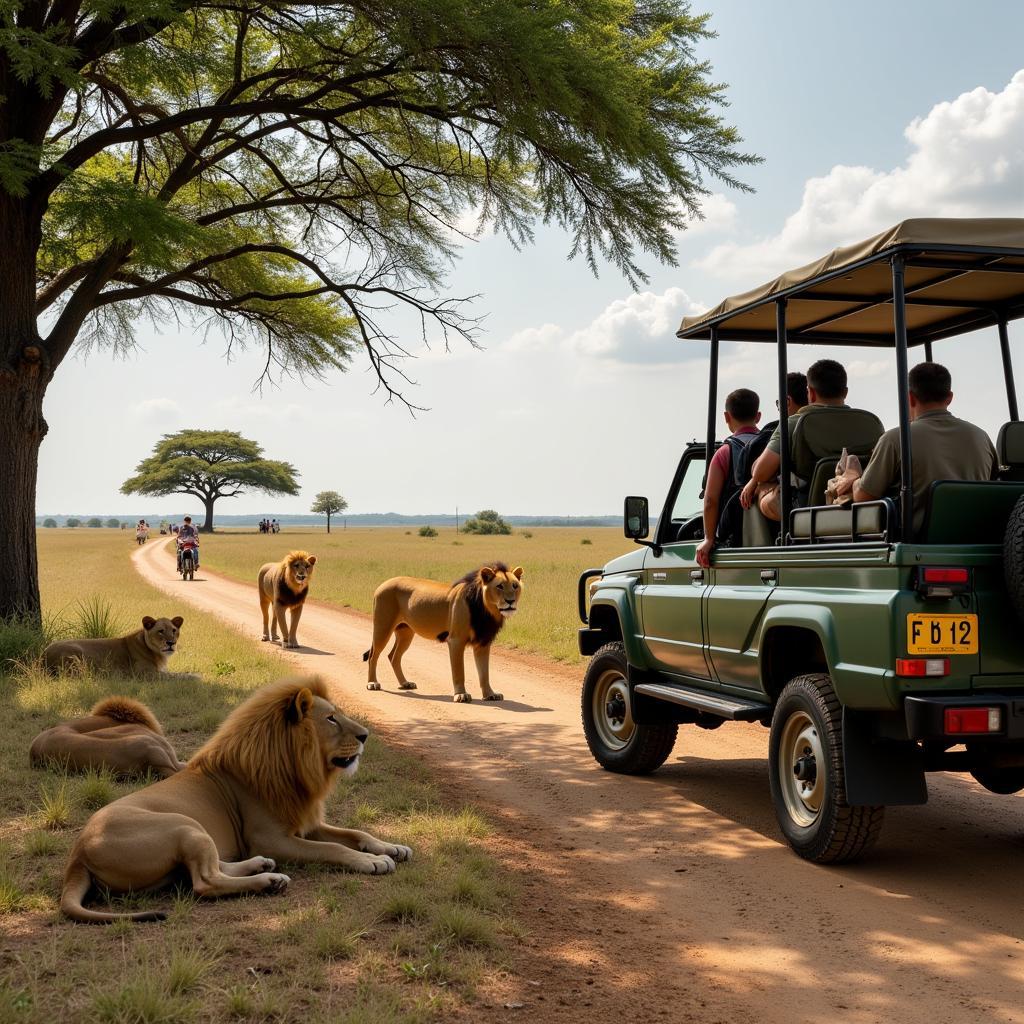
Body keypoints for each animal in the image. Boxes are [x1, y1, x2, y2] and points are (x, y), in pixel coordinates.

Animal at [59, 675, 407, 925]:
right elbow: (333, 848)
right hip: (183, 825)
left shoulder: (304, 824)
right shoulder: (271, 839)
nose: (365, 735)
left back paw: (260, 866)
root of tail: (77, 856)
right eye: (332, 718)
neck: (293, 765)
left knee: (211, 867)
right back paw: (270, 879)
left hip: (192, 834)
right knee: (205, 881)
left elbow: (355, 833)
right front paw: (373, 861)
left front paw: (392, 847)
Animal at [364, 561, 524, 704]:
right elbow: (459, 671)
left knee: (393, 656)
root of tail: (382, 584)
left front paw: (490, 694)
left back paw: (405, 683)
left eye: (515, 586)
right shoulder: (456, 640)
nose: (510, 601)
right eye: (499, 586)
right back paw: (372, 683)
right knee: (373, 655)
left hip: (405, 633)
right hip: (383, 627)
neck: (488, 611)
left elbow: (484, 673)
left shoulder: (483, 643)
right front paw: (461, 695)